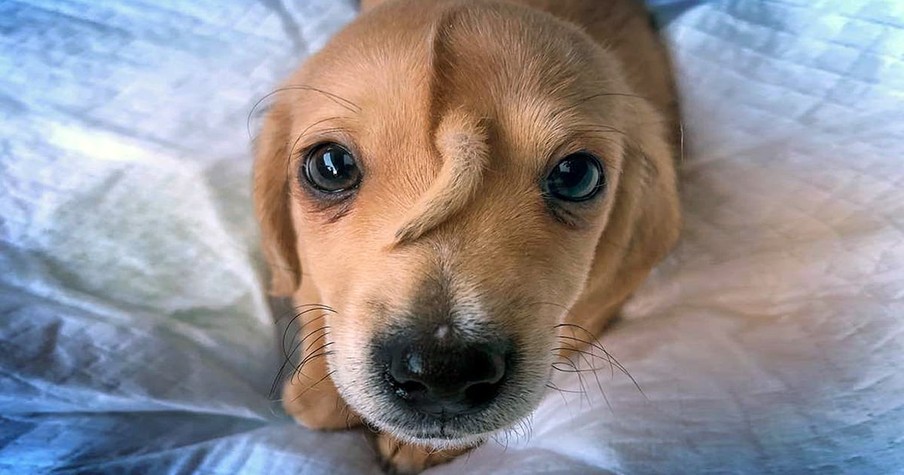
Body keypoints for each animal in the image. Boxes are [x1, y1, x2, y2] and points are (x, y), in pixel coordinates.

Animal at [252, 0, 680, 472]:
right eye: (330, 166)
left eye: (576, 174)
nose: (443, 373)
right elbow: (312, 302)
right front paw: (318, 391)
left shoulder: (586, 312)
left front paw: (419, 446)